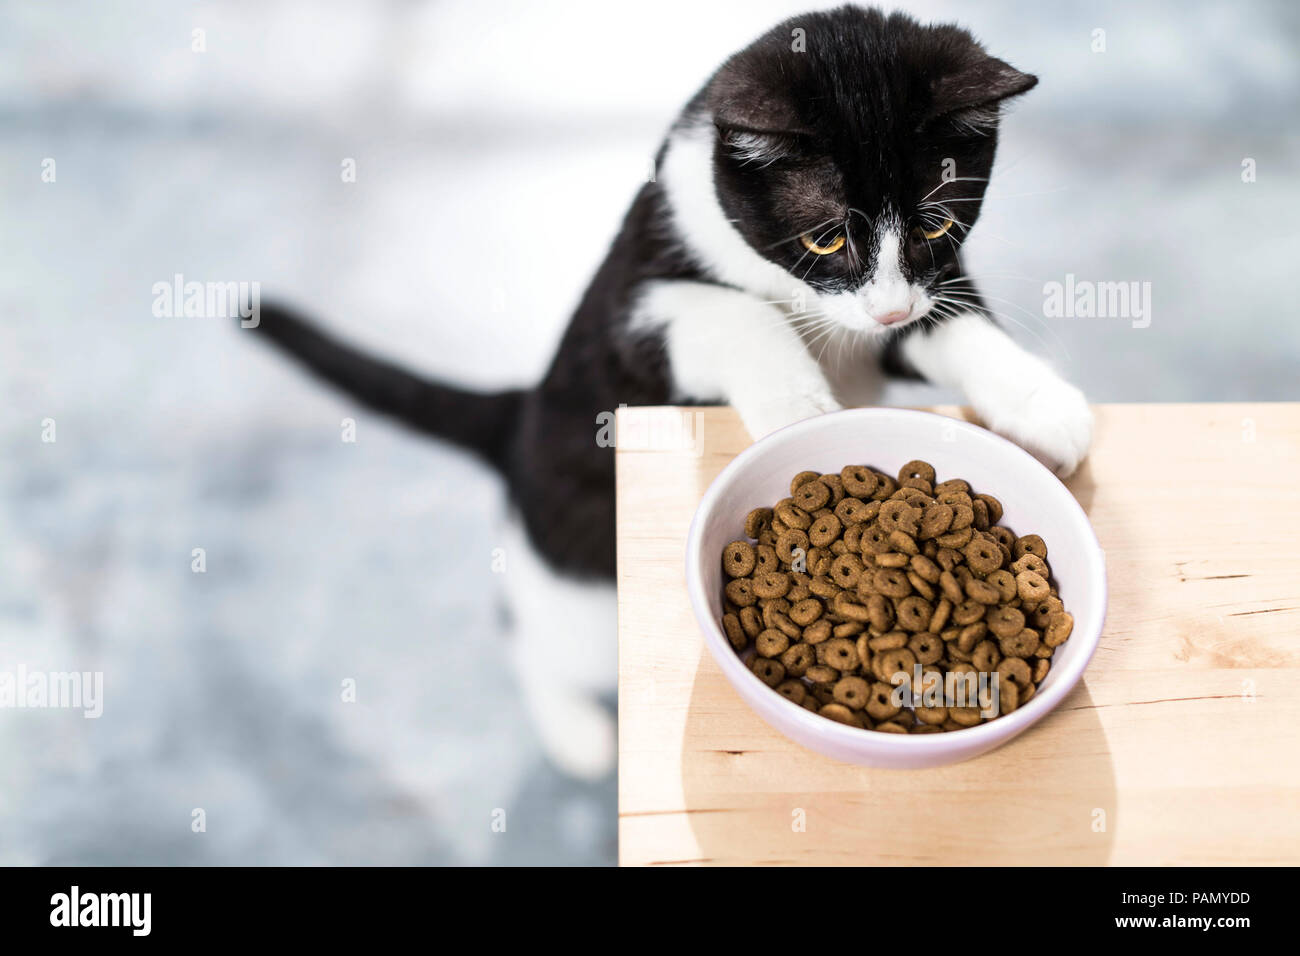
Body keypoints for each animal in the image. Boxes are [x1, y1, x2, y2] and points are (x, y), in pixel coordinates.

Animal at [253, 7, 1086, 780]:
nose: (885, 311)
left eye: (936, 227)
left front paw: (1046, 409)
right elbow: (735, 311)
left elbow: (957, 320)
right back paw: (573, 732)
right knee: (530, 631)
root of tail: (519, 418)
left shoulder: (920, 293)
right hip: (580, 580)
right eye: (824, 238)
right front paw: (798, 412)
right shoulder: (638, 304)